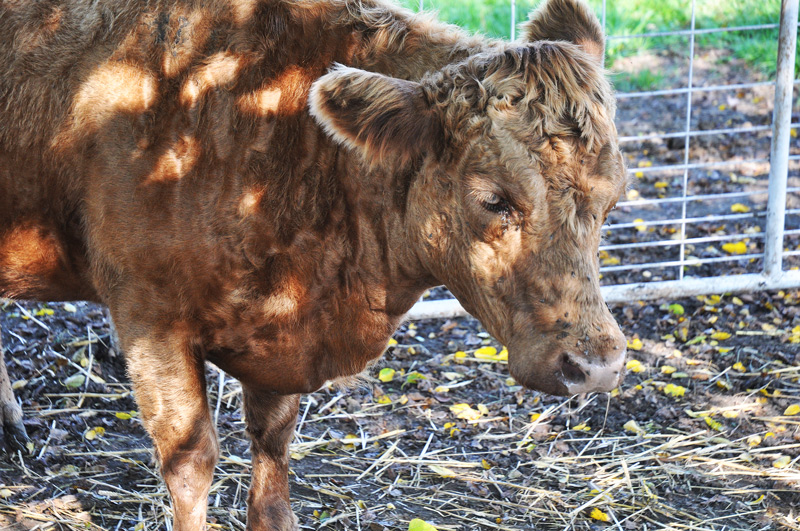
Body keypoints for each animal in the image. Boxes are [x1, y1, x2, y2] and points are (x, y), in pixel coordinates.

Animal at [0, 0, 627, 528]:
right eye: (495, 199)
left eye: (613, 197)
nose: (595, 367)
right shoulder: (149, 317)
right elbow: (190, 458)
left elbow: (274, 444)